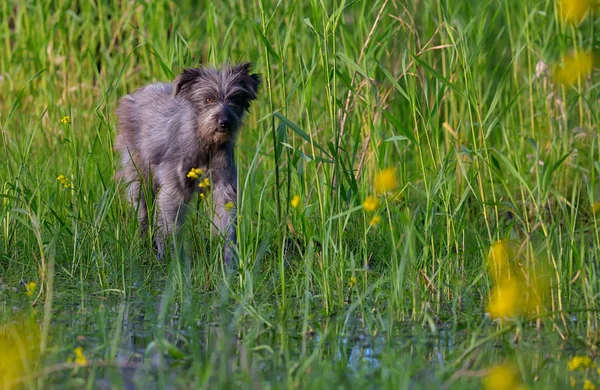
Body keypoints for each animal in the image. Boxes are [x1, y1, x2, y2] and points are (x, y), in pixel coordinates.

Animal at [115, 63, 260, 266]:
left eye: (234, 98)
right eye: (208, 98)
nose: (224, 122)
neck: (205, 144)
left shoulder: (224, 187)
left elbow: (227, 225)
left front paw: (229, 262)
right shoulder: (174, 190)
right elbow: (170, 227)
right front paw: (171, 260)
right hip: (139, 176)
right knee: (142, 212)